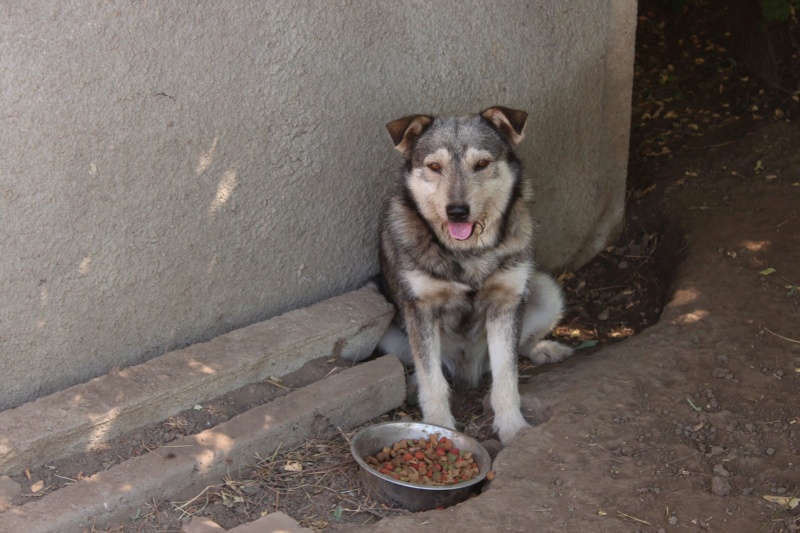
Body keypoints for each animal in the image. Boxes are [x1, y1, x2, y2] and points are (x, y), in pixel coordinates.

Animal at [354, 106, 568, 442]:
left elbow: (507, 378)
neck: (466, 253)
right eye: (434, 166)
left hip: (544, 289)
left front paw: (513, 428)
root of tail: (468, 370)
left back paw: (544, 349)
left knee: (519, 346)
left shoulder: (506, 303)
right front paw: (437, 426)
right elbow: (432, 381)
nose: (457, 212)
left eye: (481, 164)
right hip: (379, 305)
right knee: (425, 367)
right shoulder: (421, 309)